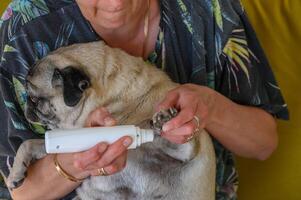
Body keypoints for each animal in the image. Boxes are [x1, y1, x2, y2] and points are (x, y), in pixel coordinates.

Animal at [5, 41, 214, 200]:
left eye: (34, 99)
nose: (27, 105)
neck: (110, 101)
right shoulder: (64, 139)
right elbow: (28, 143)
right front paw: (15, 172)